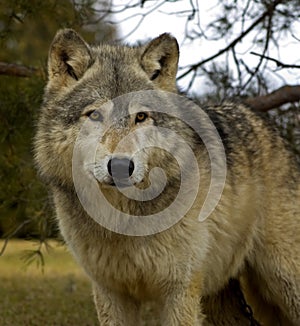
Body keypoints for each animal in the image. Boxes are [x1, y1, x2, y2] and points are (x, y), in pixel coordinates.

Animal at [34, 29, 300, 324]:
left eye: (140, 117)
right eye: (95, 115)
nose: (121, 166)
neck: (124, 219)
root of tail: (269, 125)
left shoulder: (180, 291)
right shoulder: (110, 292)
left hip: (282, 280)